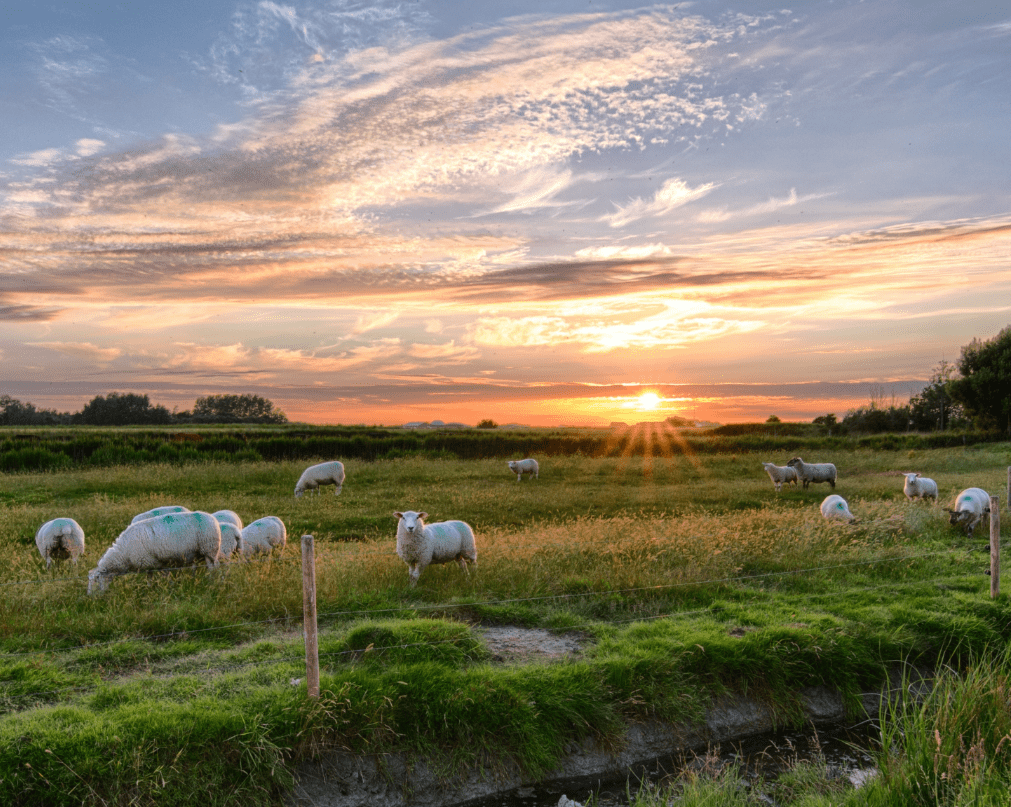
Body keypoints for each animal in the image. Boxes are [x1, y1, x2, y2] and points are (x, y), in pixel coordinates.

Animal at [87, 511, 222, 594]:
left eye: (96, 581)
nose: (90, 597)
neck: (124, 553)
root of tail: (213, 519)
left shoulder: (157, 562)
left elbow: (165, 575)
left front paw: (170, 586)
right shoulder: (148, 563)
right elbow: (149, 577)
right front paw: (149, 588)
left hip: (210, 549)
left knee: (214, 567)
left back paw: (212, 580)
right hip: (202, 552)